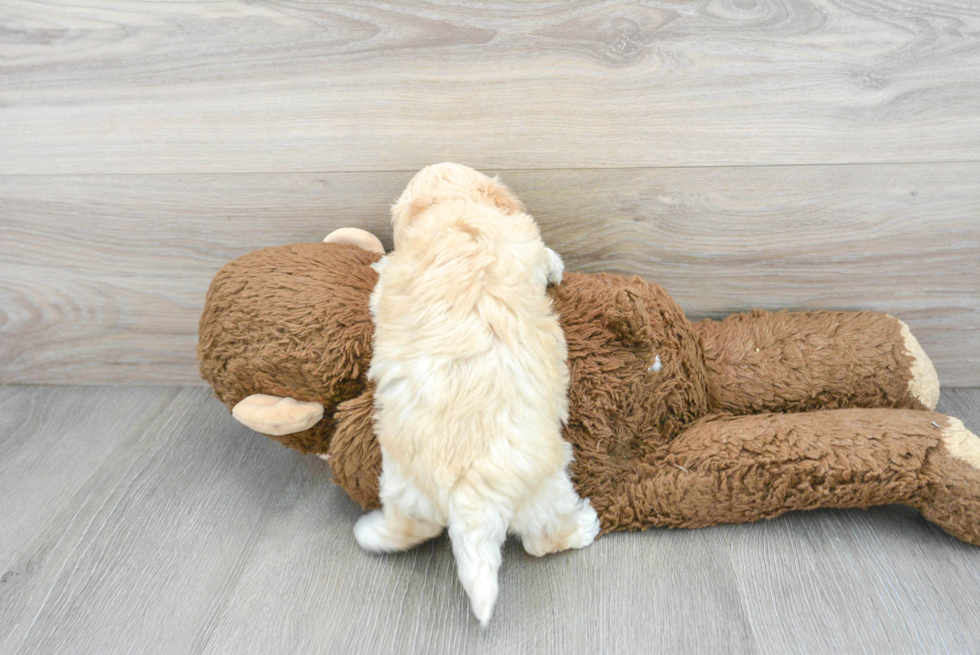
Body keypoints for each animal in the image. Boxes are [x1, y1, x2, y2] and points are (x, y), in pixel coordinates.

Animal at [356, 163, 600, 624]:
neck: (453, 207)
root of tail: (467, 496)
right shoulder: (525, 240)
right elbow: (544, 257)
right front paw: (557, 266)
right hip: (545, 488)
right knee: (543, 540)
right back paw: (584, 526)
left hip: (402, 485)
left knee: (409, 528)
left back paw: (370, 533)